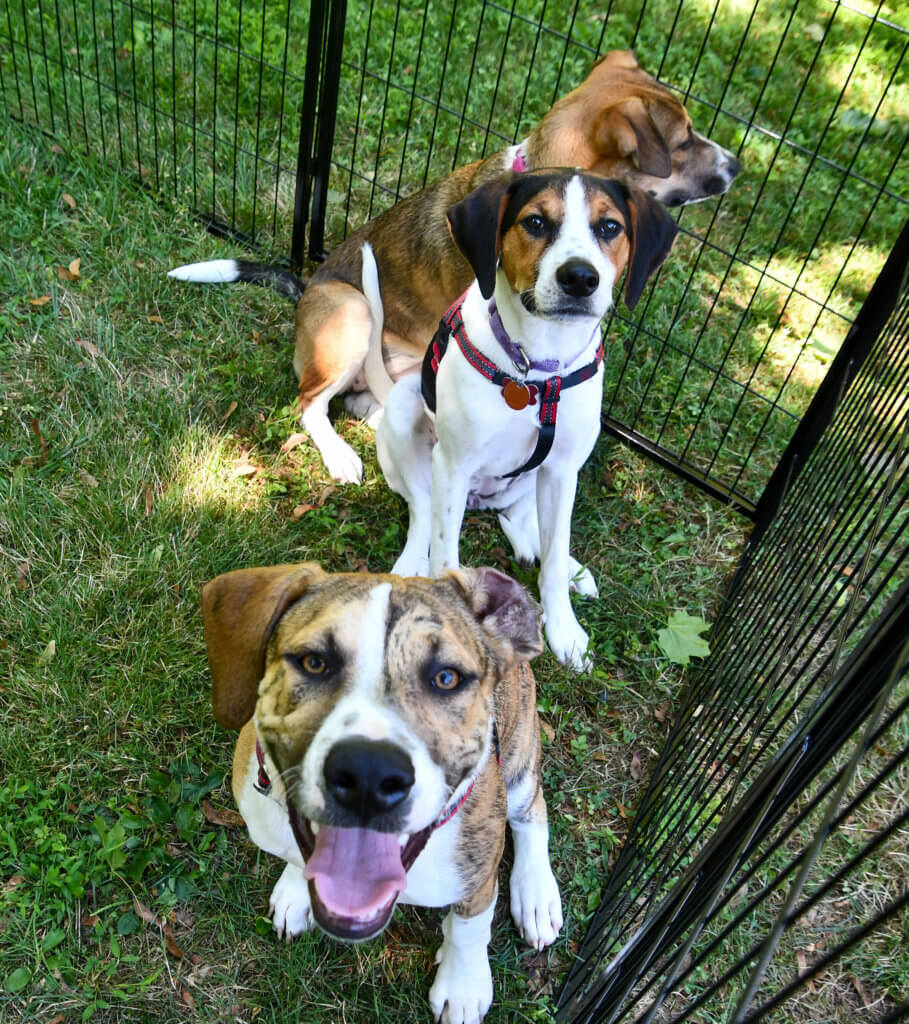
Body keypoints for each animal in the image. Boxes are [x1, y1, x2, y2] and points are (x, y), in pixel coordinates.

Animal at [169, 48, 737, 479]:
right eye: (683, 141)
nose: (735, 165)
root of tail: (309, 284)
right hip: (353, 312)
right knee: (311, 403)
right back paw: (341, 455)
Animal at [202, 565, 565, 1024]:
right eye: (314, 662)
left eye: (447, 678)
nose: (369, 776)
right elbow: (297, 856)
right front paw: (295, 889)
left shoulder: (478, 878)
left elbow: (469, 929)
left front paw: (462, 987)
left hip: (519, 763)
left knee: (533, 814)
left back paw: (536, 896)